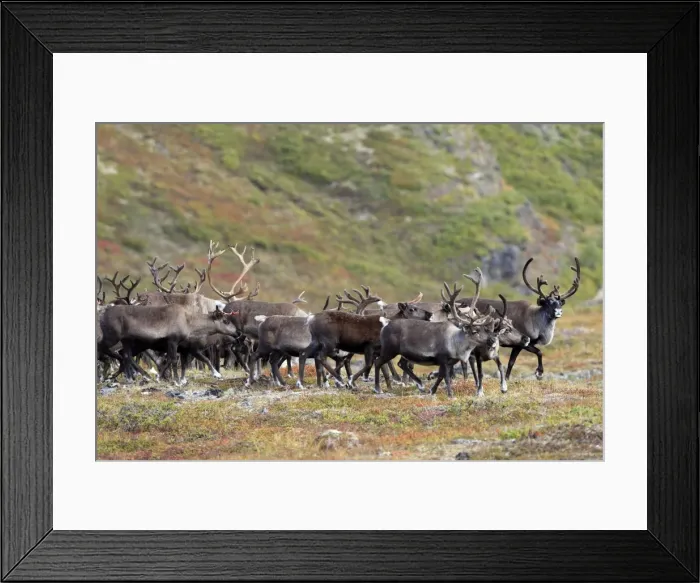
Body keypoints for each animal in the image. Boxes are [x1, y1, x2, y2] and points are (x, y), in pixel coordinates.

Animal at [373, 268, 500, 397]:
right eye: (475, 331)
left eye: (485, 329)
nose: (493, 340)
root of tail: (386, 323)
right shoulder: (442, 358)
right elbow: (446, 377)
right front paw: (450, 394)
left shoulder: (449, 362)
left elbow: (442, 375)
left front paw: (433, 390)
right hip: (390, 350)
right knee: (379, 362)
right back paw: (379, 388)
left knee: (399, 364)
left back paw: (418, 384)